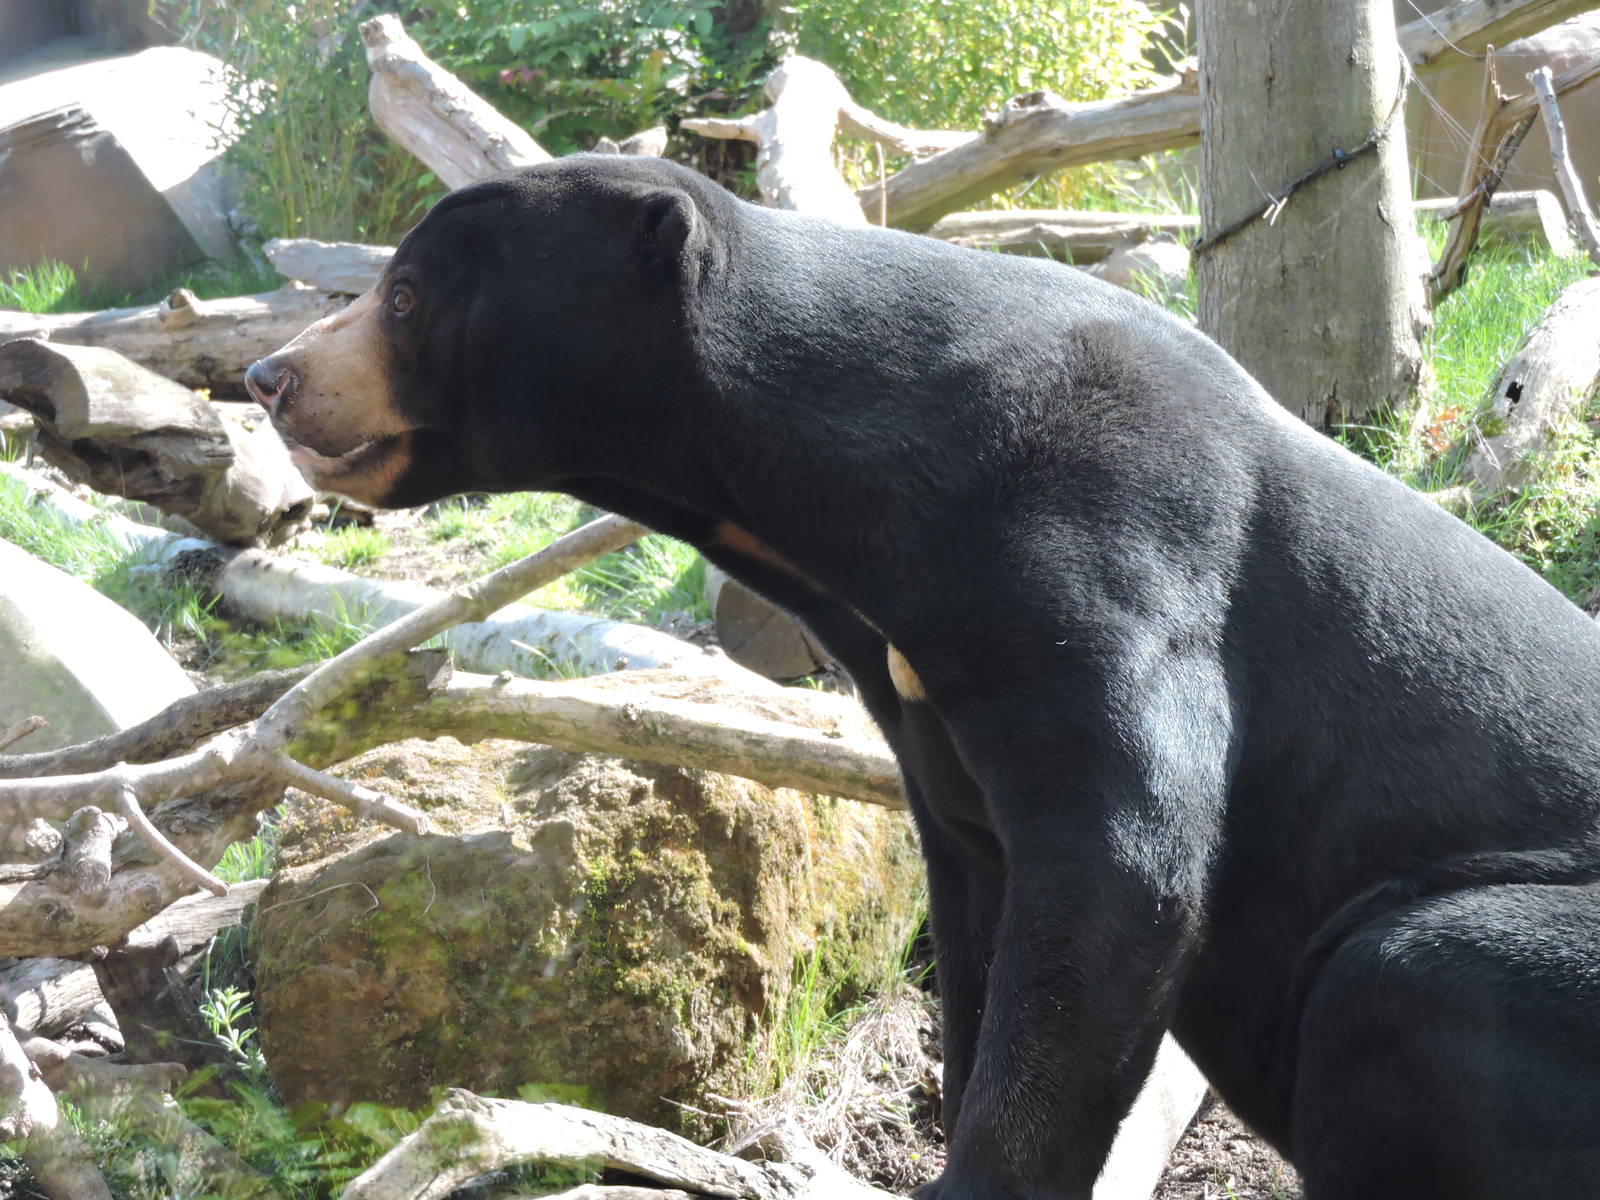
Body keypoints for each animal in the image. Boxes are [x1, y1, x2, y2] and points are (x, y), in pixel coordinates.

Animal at [246, 155, 1600, 1199]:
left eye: (404, 297)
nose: (268, 379)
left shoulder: (1109, 555)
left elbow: (1119, 869)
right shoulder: (917, 692)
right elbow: (979, 909)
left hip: (1506, 969)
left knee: (1398, 977)